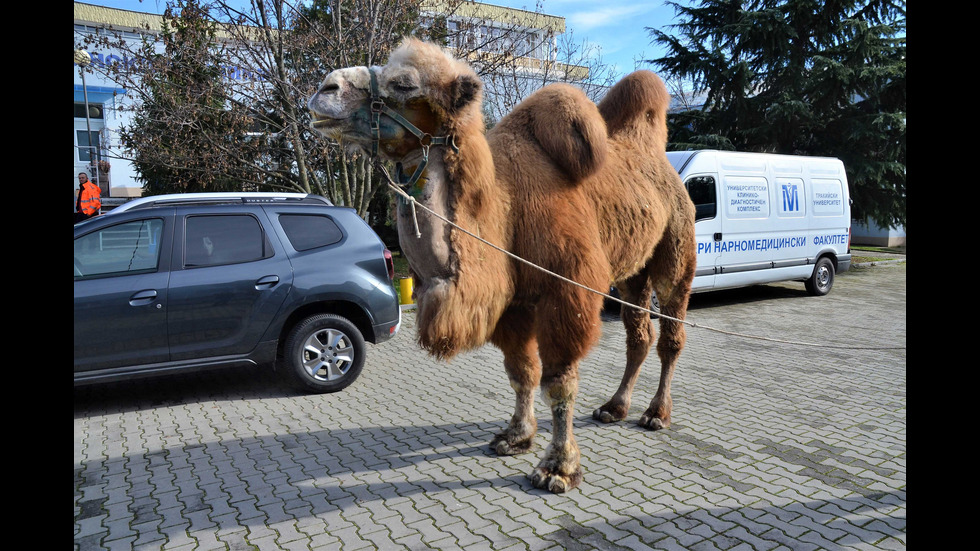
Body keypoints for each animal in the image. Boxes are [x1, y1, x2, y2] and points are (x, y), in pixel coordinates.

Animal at [306, 40, 696, 496]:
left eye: (404, 83)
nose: (325, 88)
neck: (502, 212)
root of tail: (664, 167)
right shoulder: (513, 304)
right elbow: (522, 372)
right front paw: (515, 437)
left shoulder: (567, 292)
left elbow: (558, 382)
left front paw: (559, 468)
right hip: (633, 272)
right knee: (638, 334)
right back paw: (614, 407)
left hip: (676, 254)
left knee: (670, 334)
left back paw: (656, 414)